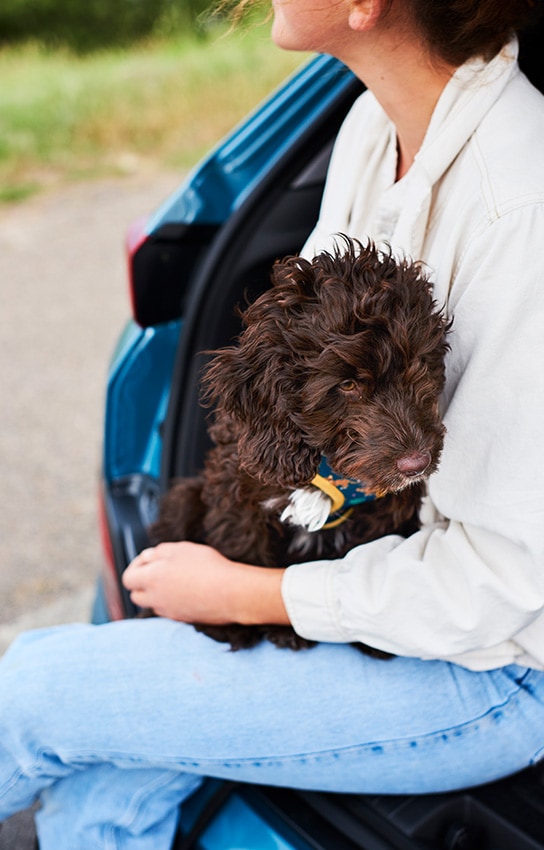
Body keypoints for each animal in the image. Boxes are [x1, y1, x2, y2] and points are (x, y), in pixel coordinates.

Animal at [149, 235, 450, 652]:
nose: (416, 464)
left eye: (417, 367)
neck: (327, 465)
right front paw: (237, 624)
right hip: (183, 498)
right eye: (347, 384)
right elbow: (243, 549)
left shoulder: (388, 510)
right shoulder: (237, 493)